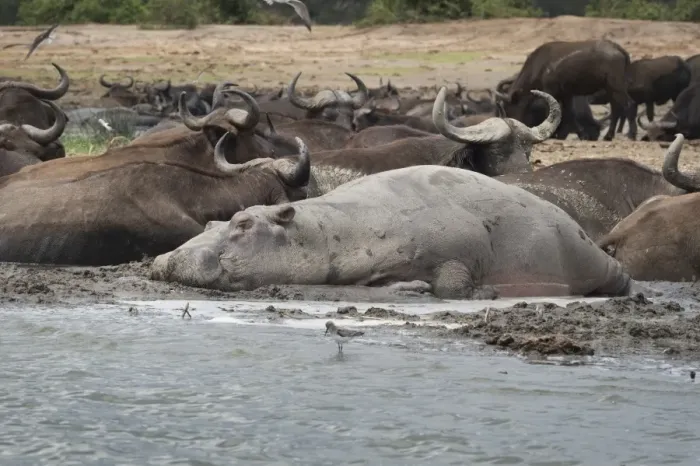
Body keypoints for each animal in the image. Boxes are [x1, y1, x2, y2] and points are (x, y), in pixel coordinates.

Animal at [151, 166, 632, 299]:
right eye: (213, 222)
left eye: (244, 223)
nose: (167, 257)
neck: (326, 230)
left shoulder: (459, 243)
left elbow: (452, 279)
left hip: (580, 251)